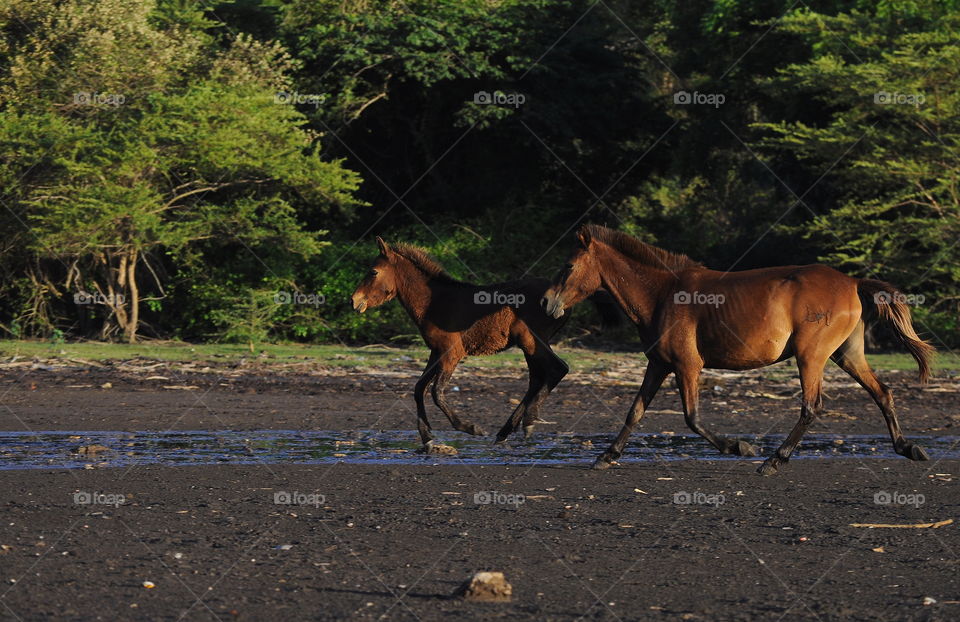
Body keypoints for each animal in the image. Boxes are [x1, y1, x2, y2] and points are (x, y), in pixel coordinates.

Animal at [350, 238, 616, 454]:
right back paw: (506, 431)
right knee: (537, 378)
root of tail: (562, 298)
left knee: (558, 369)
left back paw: (526, 422)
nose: (354, 301)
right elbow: (418, 389)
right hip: (531, 345)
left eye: (373, 272)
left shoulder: (452, 353)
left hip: (531, 340)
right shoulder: (436, 352)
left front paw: (470, 428)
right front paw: (427, 439)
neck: (434, 302)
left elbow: (436, 392)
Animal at [544, 227, 932, 476]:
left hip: (811, 357)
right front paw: (607, 456)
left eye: (567, 266)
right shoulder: (658, 365)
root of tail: (852, 282)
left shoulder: (687, 366)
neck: (662, 295)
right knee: (882, 393)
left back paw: (774, 460)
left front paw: (740, 447)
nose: (547, 303)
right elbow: (635, 412)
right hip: (846, 355)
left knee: (812, 406)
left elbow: (692, 417)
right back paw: (908, 448)